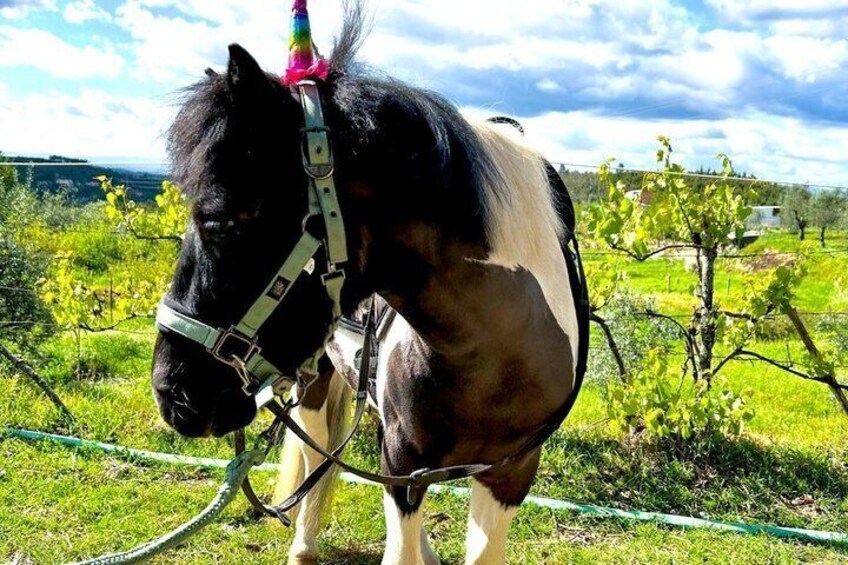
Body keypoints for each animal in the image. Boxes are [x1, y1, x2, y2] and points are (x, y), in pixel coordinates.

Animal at [151, 9, 588, 565]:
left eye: (219, 221)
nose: (168, 391)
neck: (494, 353)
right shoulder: (402, 466)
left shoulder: (509, 475)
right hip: (315, 383)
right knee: (314, 450)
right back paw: (304, 544)